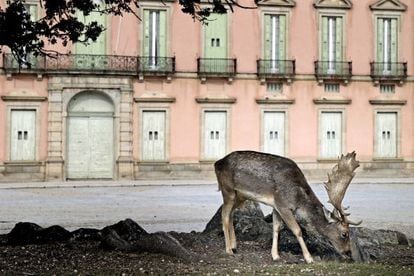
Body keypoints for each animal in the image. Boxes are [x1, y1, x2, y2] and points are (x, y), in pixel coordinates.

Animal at [215, 151, 360, 264]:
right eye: (344, 234)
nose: (348, 252)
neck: (298, 198)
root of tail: (217, 163)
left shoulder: (276, 206)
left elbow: (276, 228)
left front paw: (275, 256)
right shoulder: (283, 204)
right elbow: (297, 230)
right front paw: (309, 258)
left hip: (240, 196)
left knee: (231, 213)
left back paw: (234, 246)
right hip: (228, 190)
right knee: (224, 215)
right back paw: (229, 250)